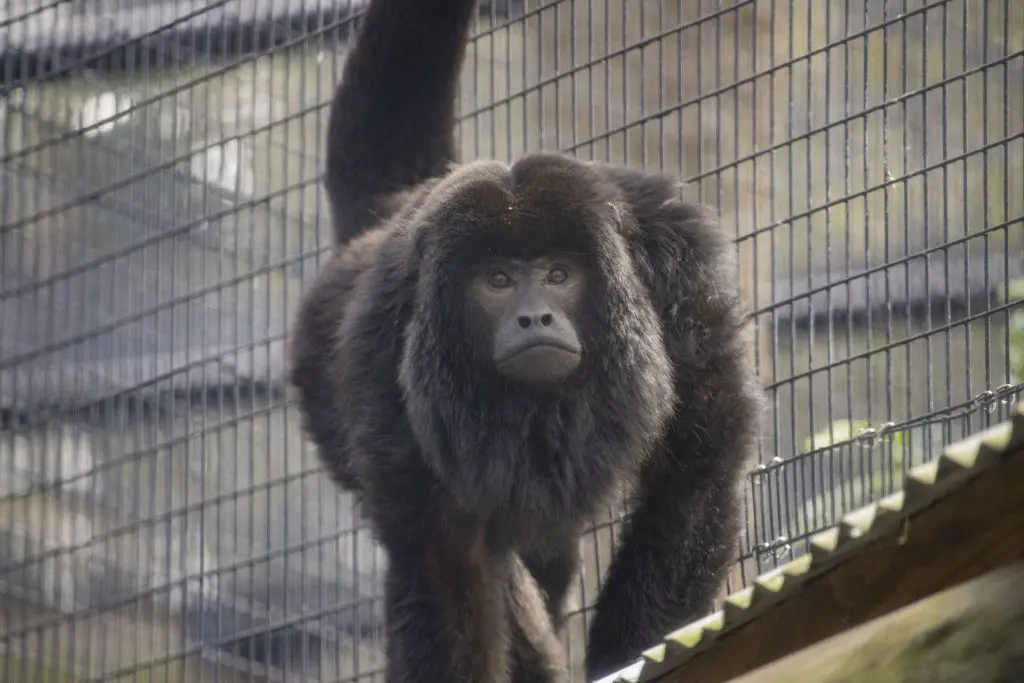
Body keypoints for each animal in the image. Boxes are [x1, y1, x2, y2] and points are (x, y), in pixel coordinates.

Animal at [288, 1, 761, 683]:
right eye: (498, 280)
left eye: (559, 275)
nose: (533, 317)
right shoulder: (381, 349)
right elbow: (443, 552)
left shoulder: (683, 274)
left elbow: (695, 463)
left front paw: (631, 655)